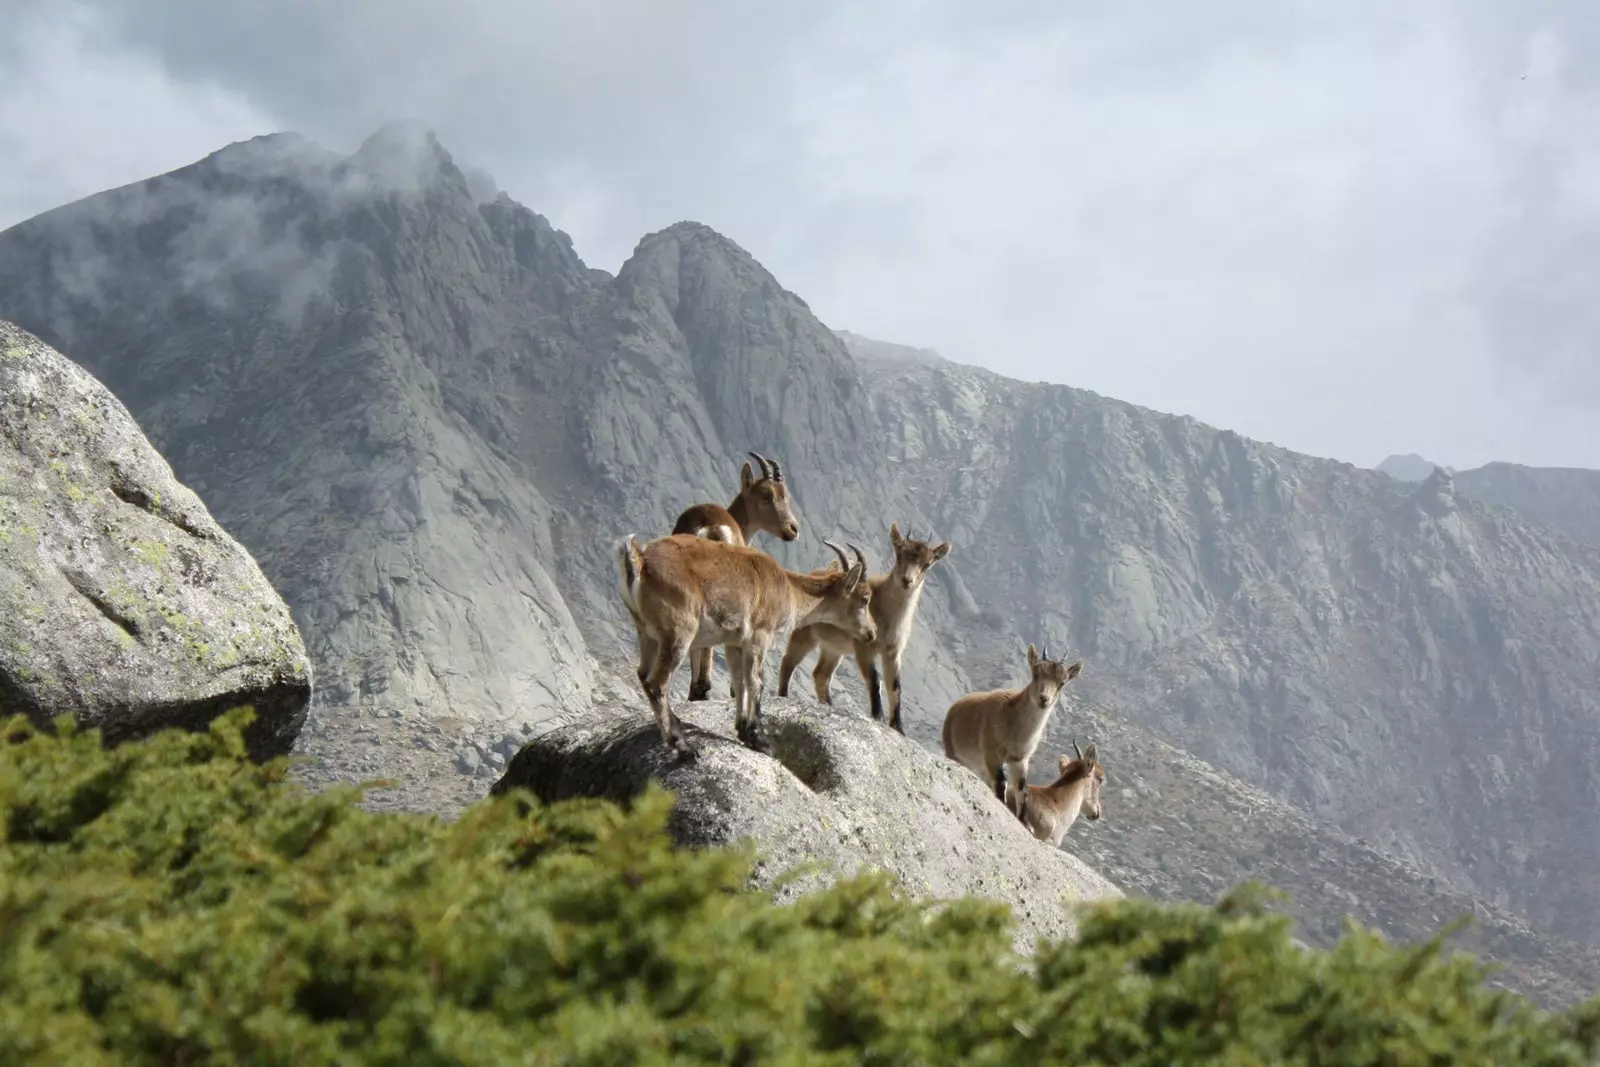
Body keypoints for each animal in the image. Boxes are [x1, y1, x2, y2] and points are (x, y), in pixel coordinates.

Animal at [614, 534, 870, 758]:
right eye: (865, 598)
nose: (869, 634)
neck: (788, 588)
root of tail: (639, 559)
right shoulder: (759, 637)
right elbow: (756, 682)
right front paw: (759, 739)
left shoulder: (734, 643)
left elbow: (739, 682)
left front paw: (743, 731)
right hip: (678, 633)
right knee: (657, 682)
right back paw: (683, 746)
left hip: (647, 633)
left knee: (643, 675)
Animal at [672, 447, 800, 703]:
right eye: (765, 494)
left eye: (786, 495)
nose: (793, 529)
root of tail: (709, 528)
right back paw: (703, 687)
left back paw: (696, 690)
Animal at [774, 524, 947, 735]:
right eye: (899, 555)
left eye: (927, 564)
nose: (907, 581)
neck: (886, 614)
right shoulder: (863, 647)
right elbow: (874, 679)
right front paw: (878, 716)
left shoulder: (892, 652)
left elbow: (895, 687)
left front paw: (898, 728)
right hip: (805, 635)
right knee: (788, 662)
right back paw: (785, 696)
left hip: (834, 649)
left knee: (821, 674)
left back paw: (829, 705)